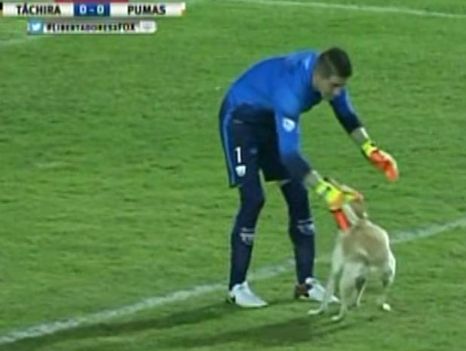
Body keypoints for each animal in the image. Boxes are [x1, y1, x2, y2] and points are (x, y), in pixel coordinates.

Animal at [310, 194, 396, 324]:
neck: (357, 223)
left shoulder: (335, 270)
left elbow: (327, 294)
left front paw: (319, 311)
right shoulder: (361, 278)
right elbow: (358, 292)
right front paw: (355, 303)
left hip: (344, 281)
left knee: (343, 307)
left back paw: (338, 316)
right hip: (386, 276)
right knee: (383, 291)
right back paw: (381, 304)